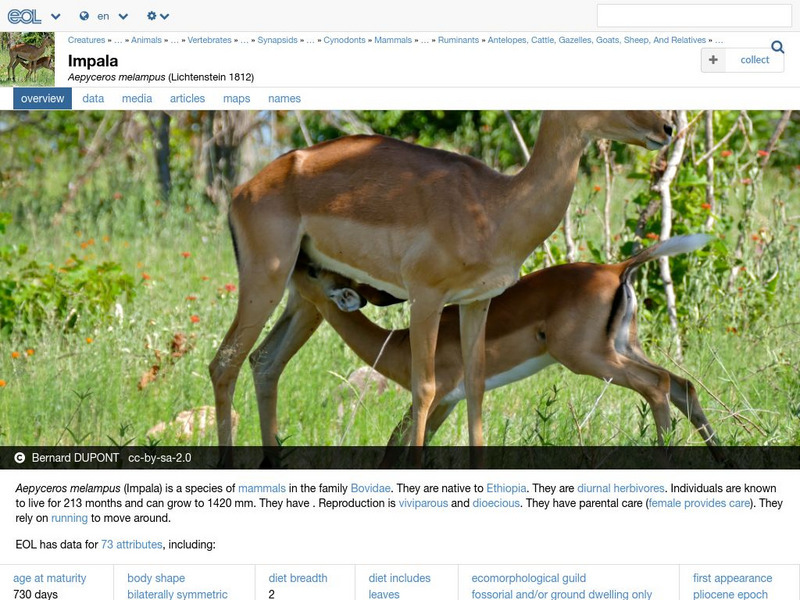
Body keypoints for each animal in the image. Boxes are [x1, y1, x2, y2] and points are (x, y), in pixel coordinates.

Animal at [211, 111, 673, 454]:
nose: (666, 128)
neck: (495, 207)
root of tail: (244, 189)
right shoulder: (426, 298)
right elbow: (425, 388)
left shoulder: (476, 302)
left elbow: (475, 386)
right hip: (265, 281)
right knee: (224, 364)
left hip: (302, 299)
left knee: (264, 363)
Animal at [271, 235, 721, 460]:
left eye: (315, 271)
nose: (292, 263)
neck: (397, 345)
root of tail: (615, 269)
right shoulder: (446, 403)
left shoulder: (433, 398)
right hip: (625, 347)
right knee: (683, 385)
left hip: (590, 358)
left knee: (658, 384)